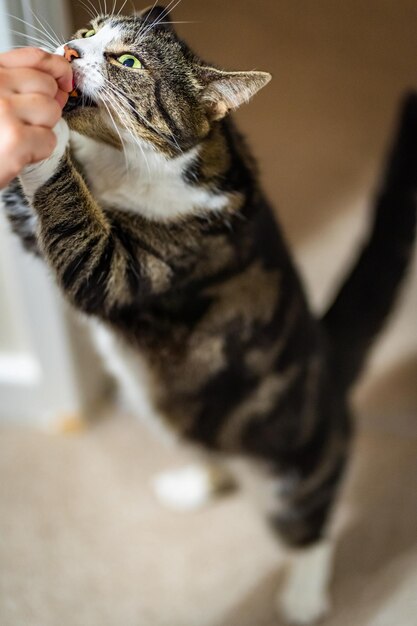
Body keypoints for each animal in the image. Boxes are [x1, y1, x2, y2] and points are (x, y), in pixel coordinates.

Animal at [1, 6, 414, 624]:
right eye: (90, 30)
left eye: (128, 61)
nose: (70, 51)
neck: (118, 165)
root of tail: (328, 361)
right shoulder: (39, 234)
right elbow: (30, 215)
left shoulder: (126, 268)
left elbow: (74, 227)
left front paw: (44, 127)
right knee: (209, 448)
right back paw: (190, 486)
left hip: (296, 474)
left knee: (313, 524)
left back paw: (303, 595)